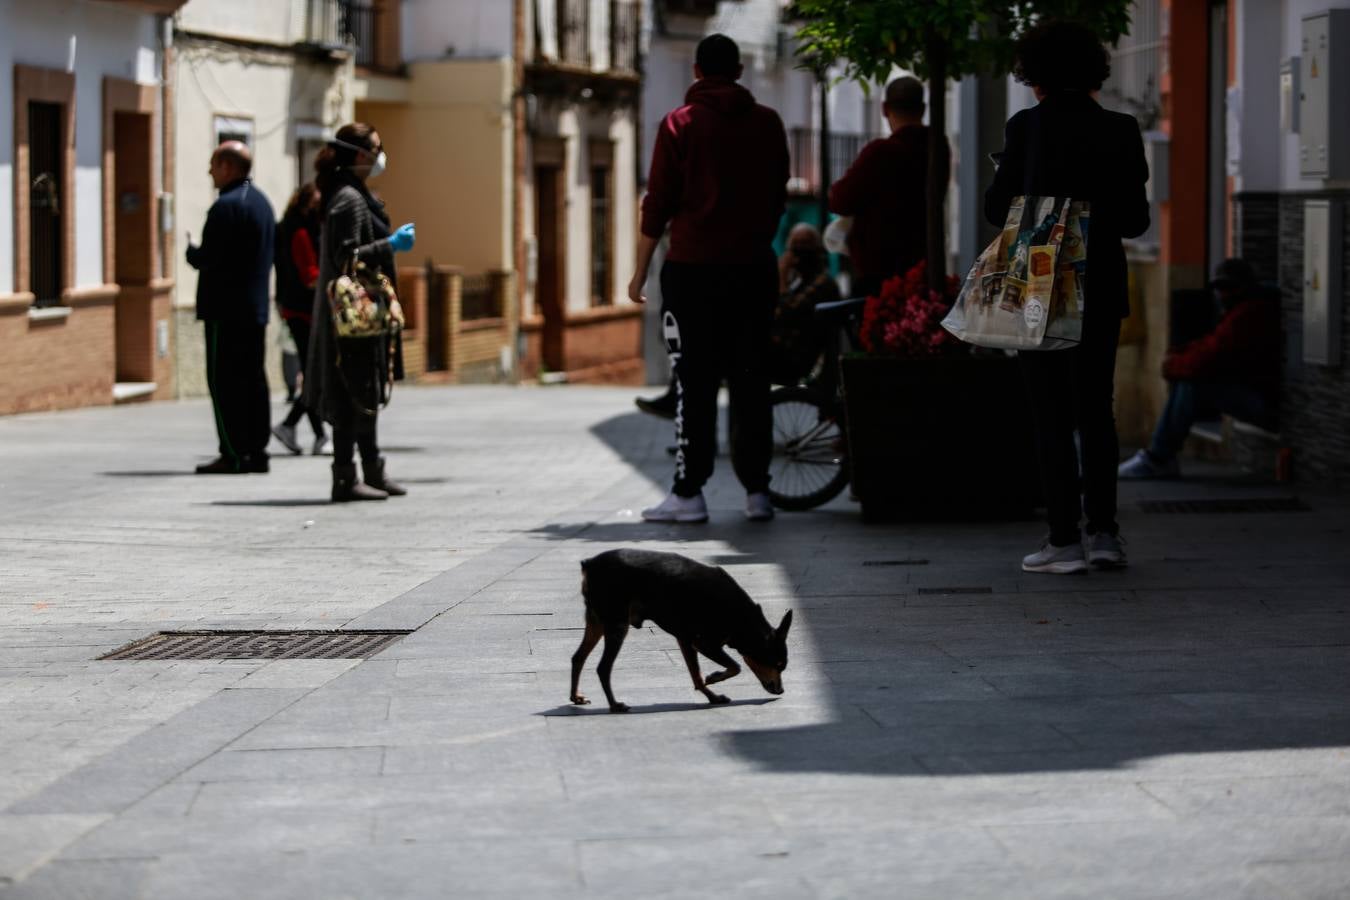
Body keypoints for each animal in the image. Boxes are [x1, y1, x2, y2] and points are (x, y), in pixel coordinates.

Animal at [569, 545, 788, 712]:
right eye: (778, 665)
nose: (782, 691)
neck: (744, 620)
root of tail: (589, 564)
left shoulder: (686, 640)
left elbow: (696, 676)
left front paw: (713, 696)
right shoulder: (704, 643)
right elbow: (735, 666)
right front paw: (714, 677)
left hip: (596, 622)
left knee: (578, 658)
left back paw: (576, 697)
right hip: (617, 625)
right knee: (603, 667)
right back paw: (614, 705)